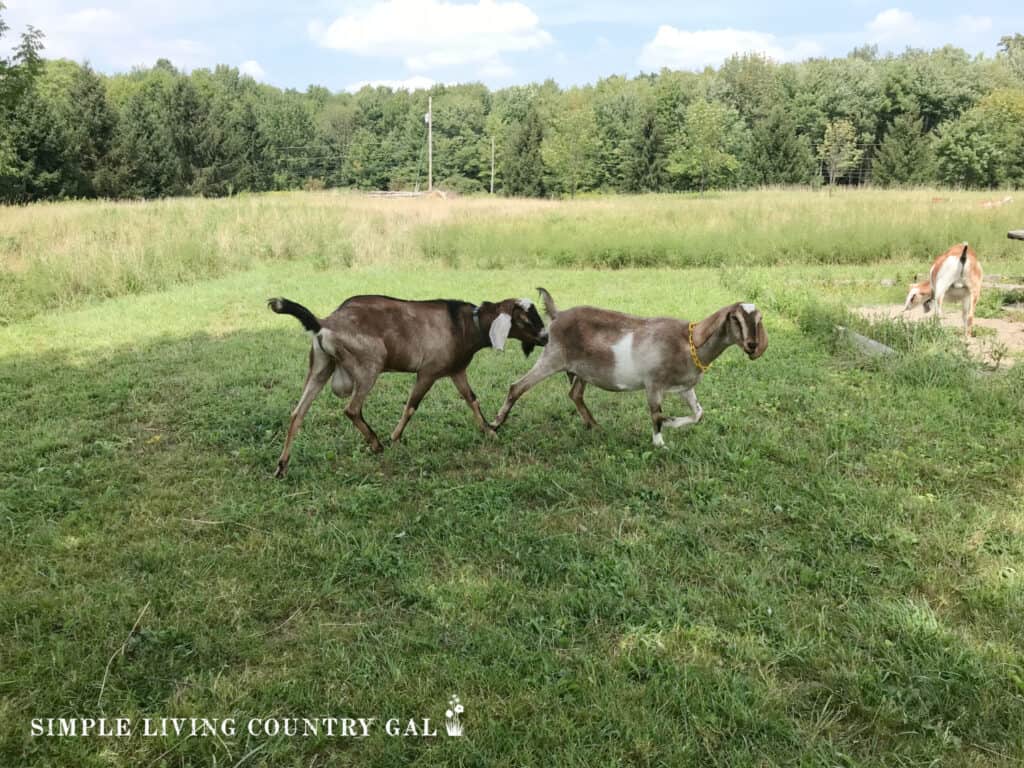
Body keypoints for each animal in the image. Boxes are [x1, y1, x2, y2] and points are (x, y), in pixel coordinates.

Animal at [268, 294, 548, 475]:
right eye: (524, 320)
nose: (546, 338)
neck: (464, 325)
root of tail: (324, 323)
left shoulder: (456, 371)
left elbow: (472, 399)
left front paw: (490, 430)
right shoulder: (428, 372)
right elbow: (412, 406)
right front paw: (395, 437)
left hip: (320, 367)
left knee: (297, 413)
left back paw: (282, 466)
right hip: (369, 366)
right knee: (351, 409)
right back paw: (376, 444)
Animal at [489, 288, 770, 448]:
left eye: (758, 319)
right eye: (735, 318)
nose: (752, 344)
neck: (687, 342)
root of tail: (557, 315)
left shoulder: (684, 386)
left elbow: (698, 414)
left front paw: (672, 423)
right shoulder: (653, 383)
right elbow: (656, 414)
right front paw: (660, 442)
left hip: (581, 370)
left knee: (575, 394)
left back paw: (595, 427)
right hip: (552, 358)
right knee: (516, 387)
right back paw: (494, 424)